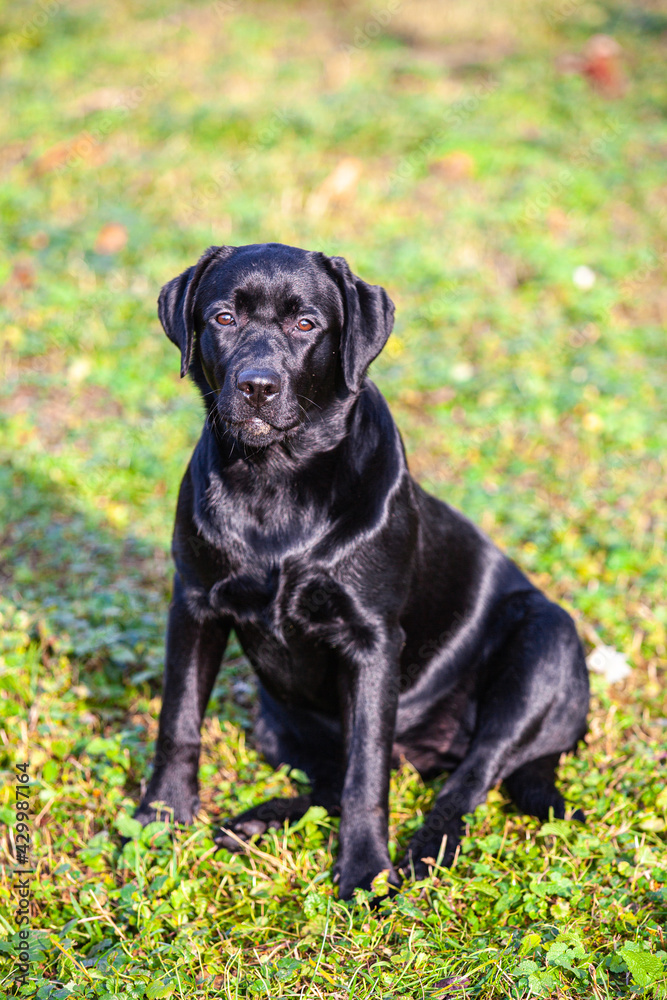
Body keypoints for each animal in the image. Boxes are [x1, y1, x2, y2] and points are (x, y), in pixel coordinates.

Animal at [137, 242, 588, 900]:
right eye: (223, 318)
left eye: (306, 324)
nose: (257, 386)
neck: (276, 483)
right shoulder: (195, 605)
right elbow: (178, 722)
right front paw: (160, 817)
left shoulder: (372, 641)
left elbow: (367, 774)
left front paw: (366, 870)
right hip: (278, 724)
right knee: (331, 782)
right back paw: (256, 822)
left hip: (545, 638)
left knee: (469, 777)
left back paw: (427, 851)